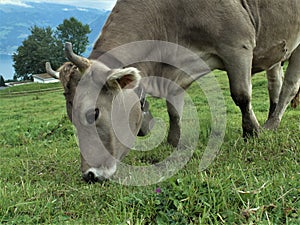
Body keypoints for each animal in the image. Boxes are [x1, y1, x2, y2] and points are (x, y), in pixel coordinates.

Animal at [45, 0, 298, 183]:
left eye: (93, 114)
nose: (90, 175)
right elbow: (173, 109)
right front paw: (174, 140)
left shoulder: (237, 45)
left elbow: (241, 95)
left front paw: (252, 131)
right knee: (275, 82)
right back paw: (271, 117)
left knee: (290, 86)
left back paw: (271, 123)